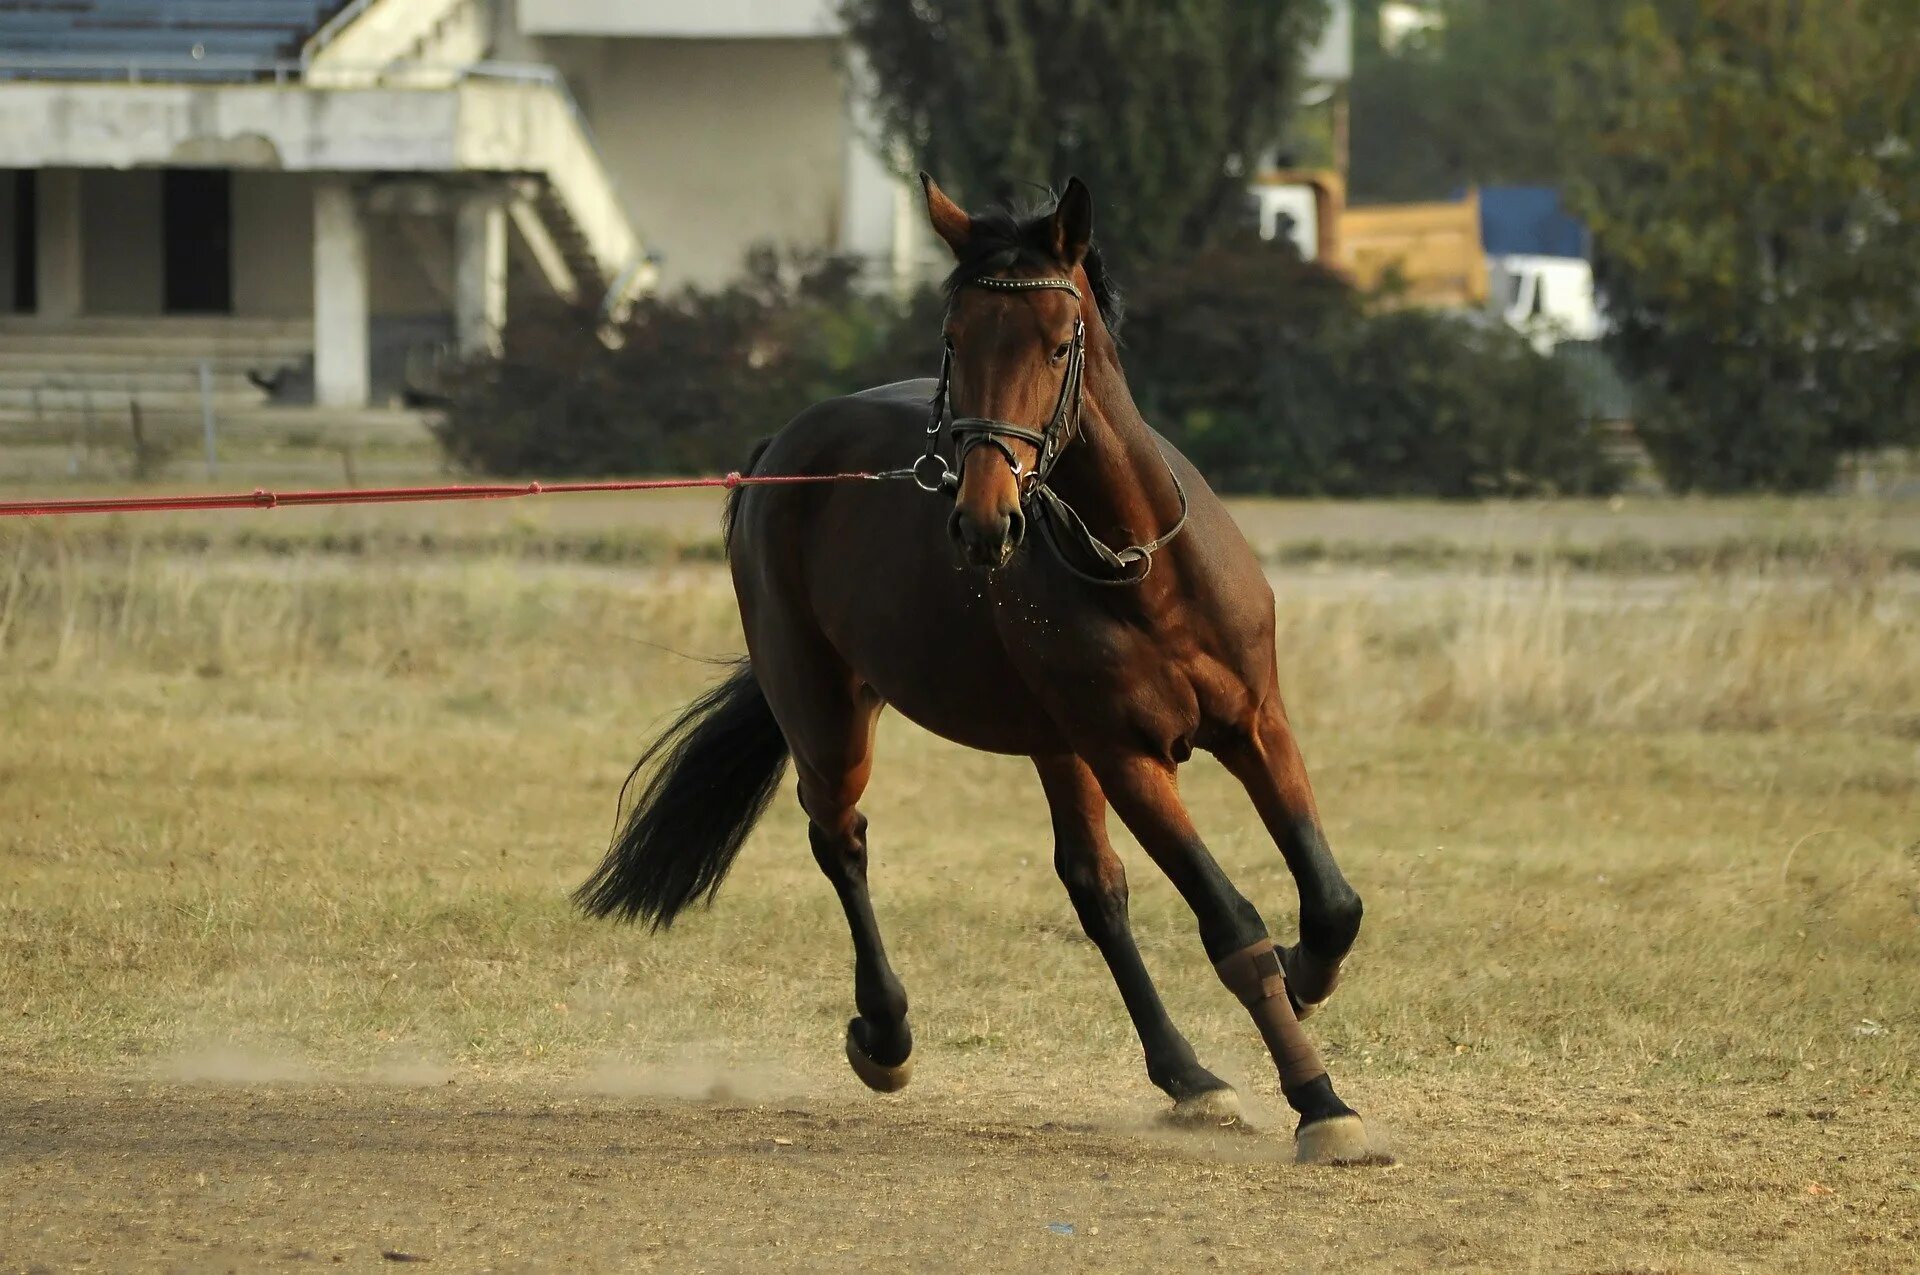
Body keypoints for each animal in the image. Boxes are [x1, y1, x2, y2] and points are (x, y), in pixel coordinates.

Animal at [576, 174, 1374, 1159]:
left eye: (1060, 341)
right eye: (955, 336)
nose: (984, 519)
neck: (1138, 565)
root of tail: (781, 456)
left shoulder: (1256, 722)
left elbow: (1330, 900)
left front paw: (1304, 980)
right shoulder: (1129, 759)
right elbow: (1231, 923)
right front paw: (1320, 1099)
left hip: (1054, 746)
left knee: (1093, 886)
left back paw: (1187, 1074)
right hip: (830, 712)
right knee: (840, 838)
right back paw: (886, 1033)